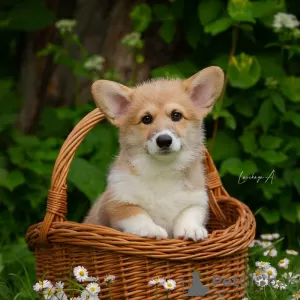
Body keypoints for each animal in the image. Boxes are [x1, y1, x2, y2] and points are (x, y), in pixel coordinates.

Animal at [83, 66, 224, 241]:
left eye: (176, 115)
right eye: (146, 119)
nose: (164, 140)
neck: (163, 170)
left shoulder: (197, 200)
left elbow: (189, 213)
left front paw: (191, 229)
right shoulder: (116, 202)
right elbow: (137, 213)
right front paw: (151, 229)